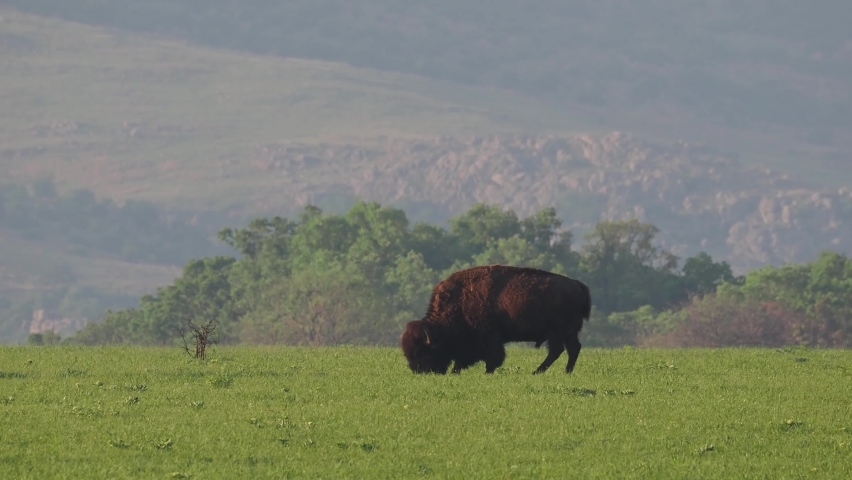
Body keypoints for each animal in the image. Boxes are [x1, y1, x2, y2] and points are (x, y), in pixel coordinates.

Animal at [401, 265, 591, 375]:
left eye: (423, 351)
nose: (419, 371)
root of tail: (577, 284)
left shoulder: (490, 337)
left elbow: (493, 356)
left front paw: (487, 371)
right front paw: (456, 371)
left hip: (558, 331)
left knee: (560, 350)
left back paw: (540, 371)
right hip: (566, 332)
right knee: (570, 349)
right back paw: (563, 371)